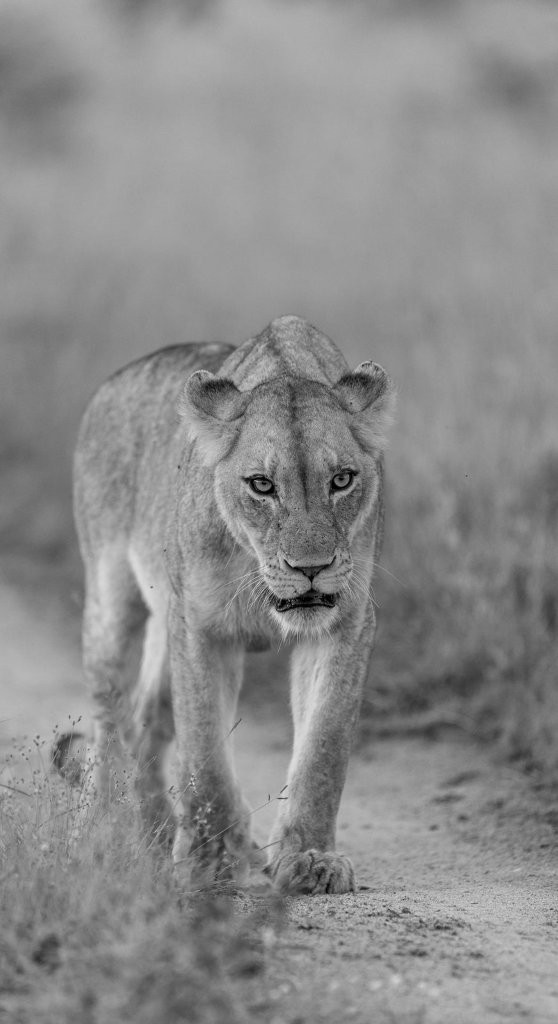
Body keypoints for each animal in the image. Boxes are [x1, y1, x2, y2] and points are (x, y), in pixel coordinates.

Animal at [68, 315, 395, 895]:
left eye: (342, 480)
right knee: (110, 720)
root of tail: (112, 382)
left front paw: (310, 858)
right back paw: (96, 839)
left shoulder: (347, 623)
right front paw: (210, 861)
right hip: (110, 601)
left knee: (147, 715)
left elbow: (324, 746)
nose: (310, 568)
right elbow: (205, 753)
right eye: (261, 485)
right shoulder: (199, 625)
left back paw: (156, 833)